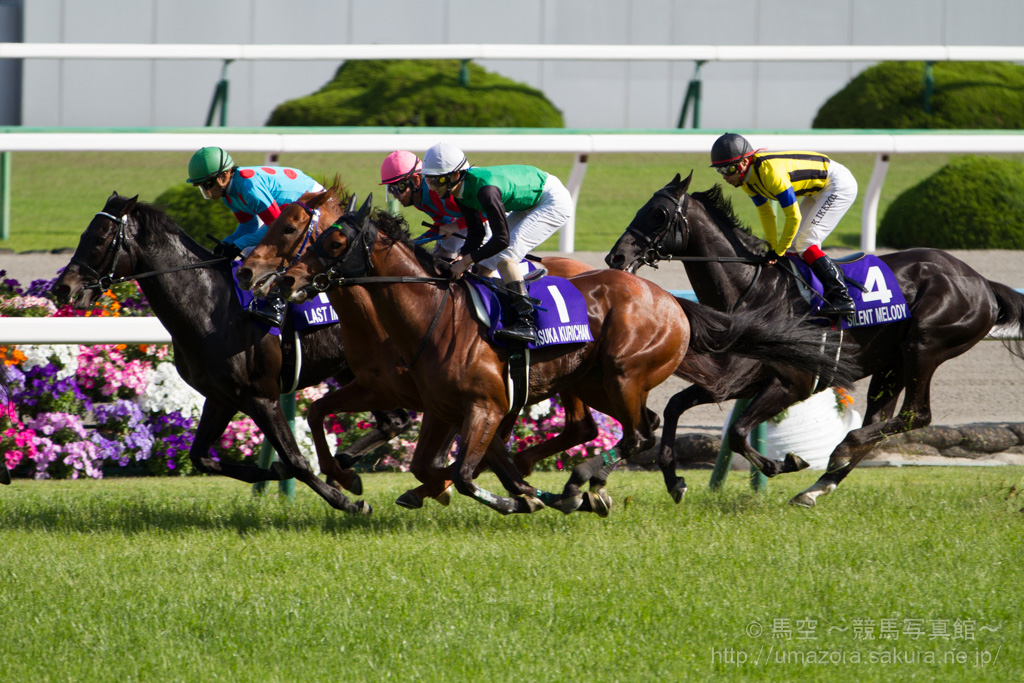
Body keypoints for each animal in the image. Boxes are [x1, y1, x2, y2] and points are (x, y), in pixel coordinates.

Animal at [51, 192, 415, 514]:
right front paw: (277, 473)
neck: (210, 308)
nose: (62, 288)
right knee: (394, 420)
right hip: (353, 371)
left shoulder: (261, 396)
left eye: (100, 238)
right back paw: (346, 470)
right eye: (83, 234)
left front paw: (347, 503)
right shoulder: (221, 397)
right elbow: (201, 457)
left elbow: (296, 459)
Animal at [236, 184, 611, 511]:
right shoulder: (382, 388)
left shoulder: (443, 399)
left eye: (289, 228)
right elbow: (318, 413)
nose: (249, 271)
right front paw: (347, 476)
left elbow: (443, 459)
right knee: (577, 428)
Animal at [272, 192, 854, 515]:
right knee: (624, 427)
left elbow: (464, 471)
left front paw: (518, 498)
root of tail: (670, 299)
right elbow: (426, 464)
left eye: (332, 243)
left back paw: (581, 485)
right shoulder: (437, 406)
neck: (429, 317)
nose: (286, 282)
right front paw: (361, 481)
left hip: (622, 373)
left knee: (637, 433)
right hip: (590, 381)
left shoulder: (485, 405)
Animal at [605, 172, 1024, 506]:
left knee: (914, 415)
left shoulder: (793, 382)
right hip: (891, 364)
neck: (755, 292)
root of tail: (983, 282)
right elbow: (676, 406)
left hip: (924, 346)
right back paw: (816, 488)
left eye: (658, 214)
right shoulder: (734, 380)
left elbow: (738, 433)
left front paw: (784, 462)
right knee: (880, 421)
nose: (615, 257)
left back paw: (842, 448)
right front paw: (674, 480)